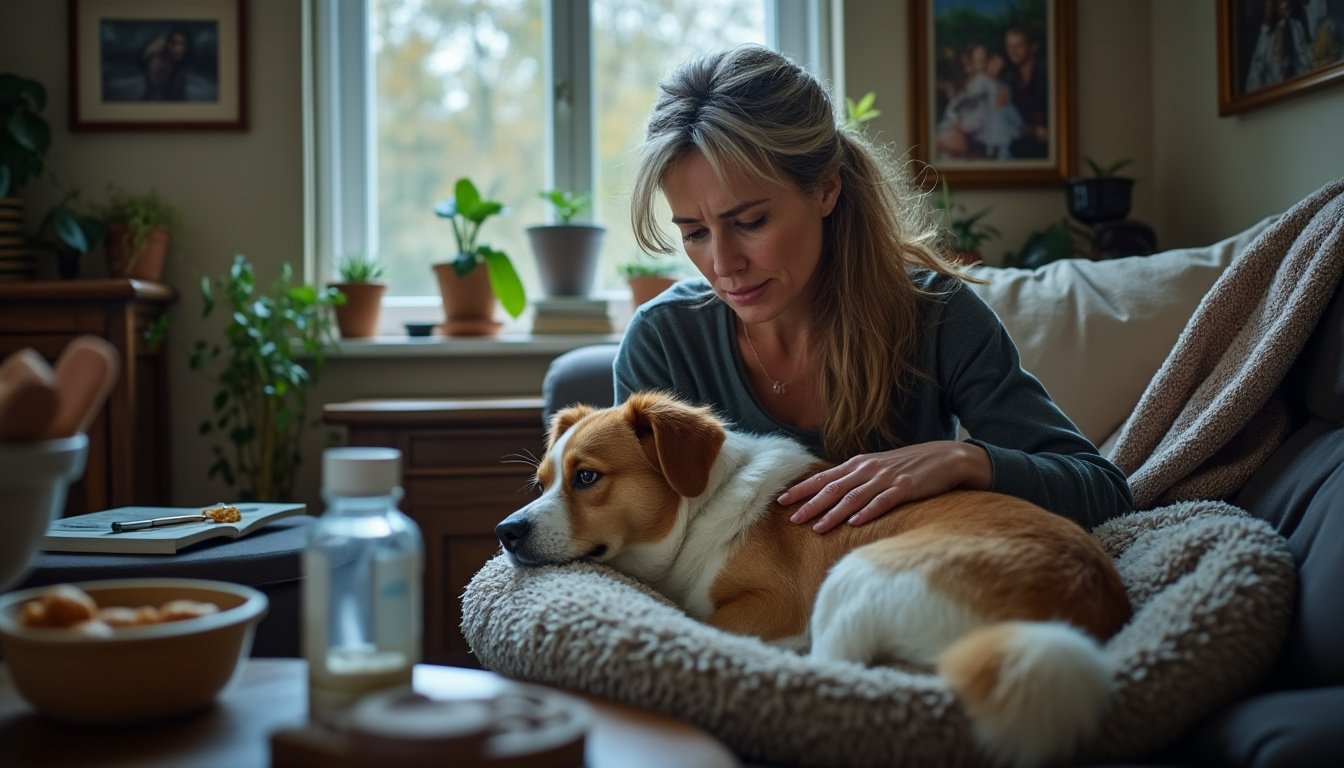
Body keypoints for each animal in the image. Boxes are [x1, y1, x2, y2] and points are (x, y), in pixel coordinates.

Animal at [499, 392, 1128, 763]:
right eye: (541, 482)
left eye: (586, 477)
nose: (507, 530)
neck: (698, 508)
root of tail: (1074, 610)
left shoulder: (775, 606)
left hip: (855, 578)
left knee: (832, 670)